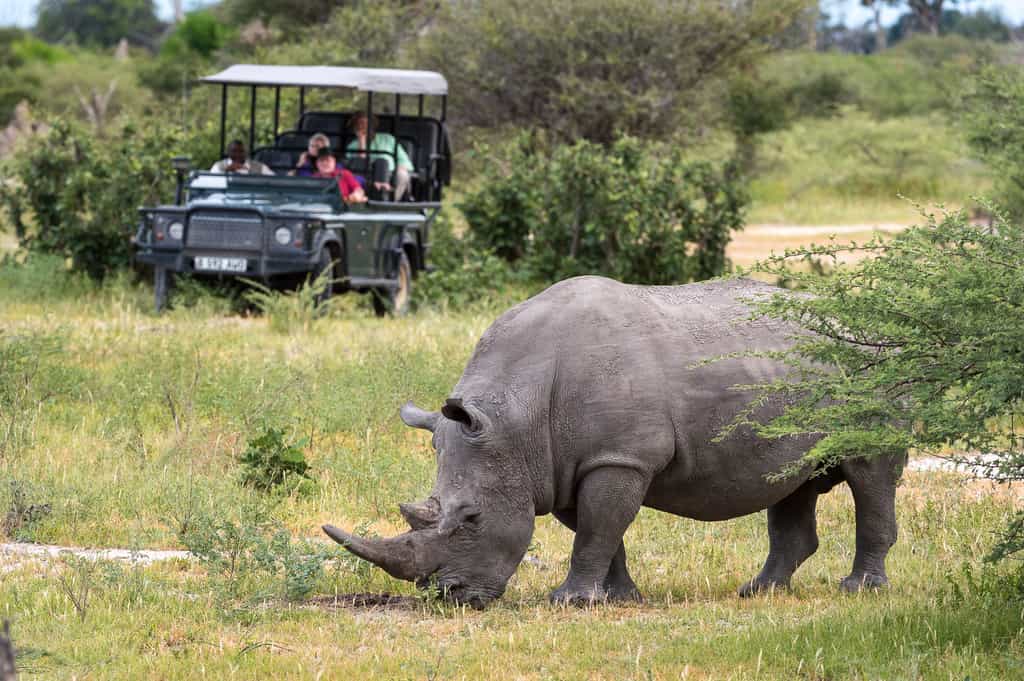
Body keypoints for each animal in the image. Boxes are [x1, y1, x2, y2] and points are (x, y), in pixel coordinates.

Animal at [324, 276, 905, 607]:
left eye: (470, 518)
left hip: (871, 369)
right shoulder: (561, 464)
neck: (513, 416)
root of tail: (877, 328)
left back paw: (859, 590)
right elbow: (601, 532)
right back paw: (758, 592)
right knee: (792, 483)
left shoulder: (618, 458)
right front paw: (619, 598)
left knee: (869, 474)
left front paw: (568, 601)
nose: (449, 597)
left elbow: (598, 530)